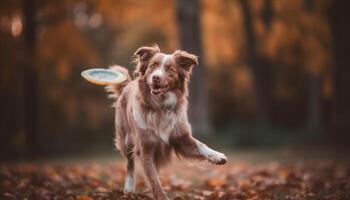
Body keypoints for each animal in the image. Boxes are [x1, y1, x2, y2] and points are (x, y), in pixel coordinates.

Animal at [105, 45, 228, 200]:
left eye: (170, 69)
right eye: (152, 66)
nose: (156, 77)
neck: (160, 107)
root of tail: (127, 85)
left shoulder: (181, 138)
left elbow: (201, 144)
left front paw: (217, 156)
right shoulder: (145, 148)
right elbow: (153, 179)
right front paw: (160, 195)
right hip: (126, 140)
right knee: (130, 164)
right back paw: (128, 188)